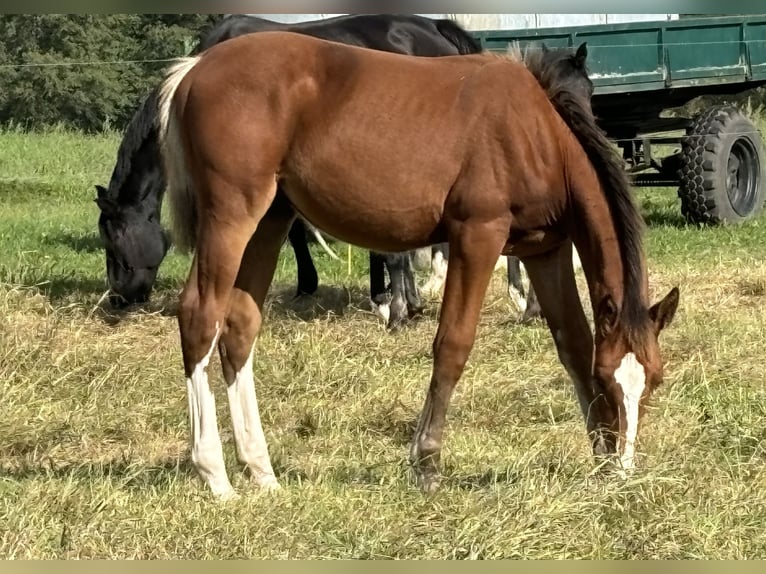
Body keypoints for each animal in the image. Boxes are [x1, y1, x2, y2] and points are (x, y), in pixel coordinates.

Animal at [156, 31, 680, 500]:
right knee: (200, 315)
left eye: (652, 382)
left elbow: (573, 344)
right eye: (610, 382)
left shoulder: (543, 251)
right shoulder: (477, 236)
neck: (538, 133)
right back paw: (215, 476)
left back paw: (261, 471)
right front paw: (426, 463)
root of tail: (194, 69)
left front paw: (602, 459)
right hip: (231, 215)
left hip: (270, 218)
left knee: (240, 326)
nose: (626, 467)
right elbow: (453, 345)